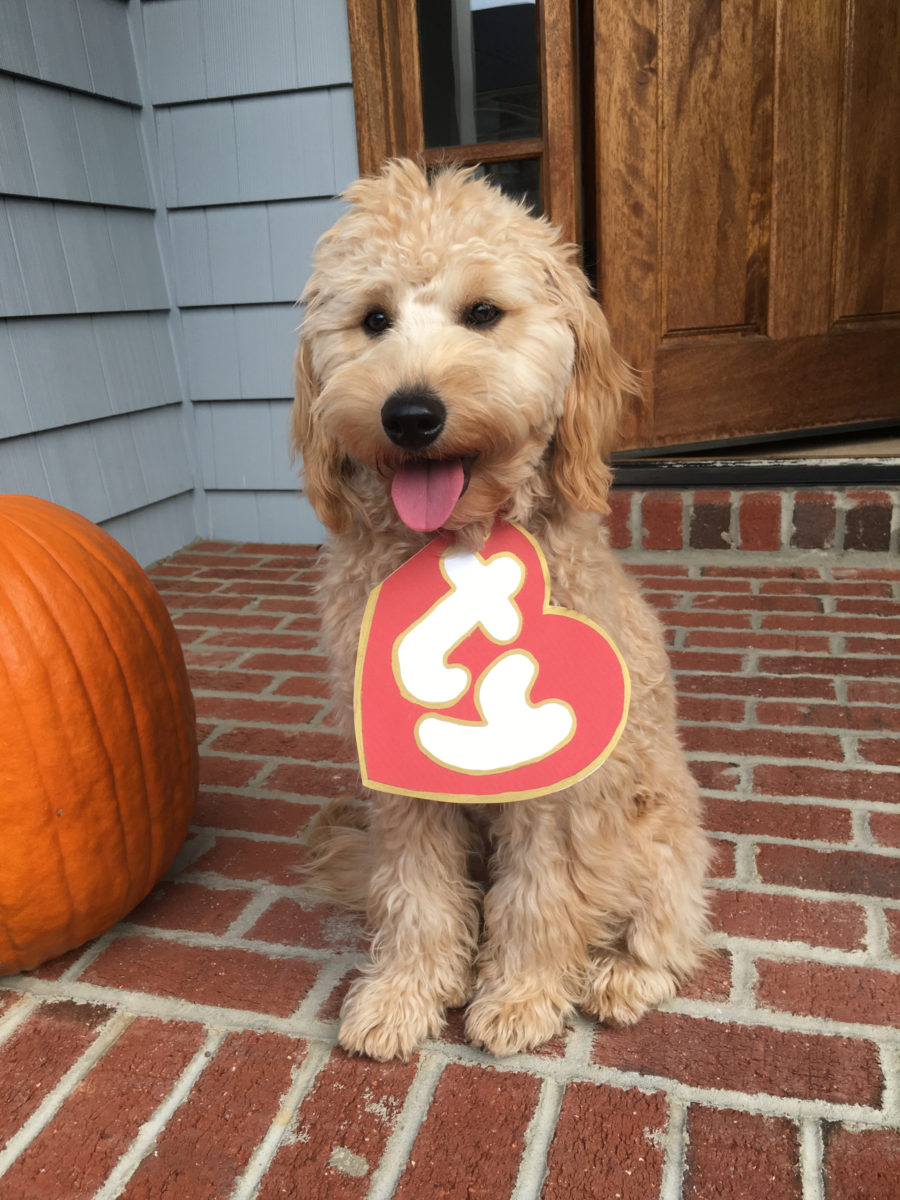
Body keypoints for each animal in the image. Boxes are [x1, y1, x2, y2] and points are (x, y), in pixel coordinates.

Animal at [294, 159, 710, 1060]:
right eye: (373, 320)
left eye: (483, 313)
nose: (410, 414)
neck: (458, 547)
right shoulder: (400, 772)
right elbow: (415, 893)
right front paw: (404, 995)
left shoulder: (557, 779)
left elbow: (539, 894)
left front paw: (520, 995)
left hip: (656, 834)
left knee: (670, 928)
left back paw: (620, 977)